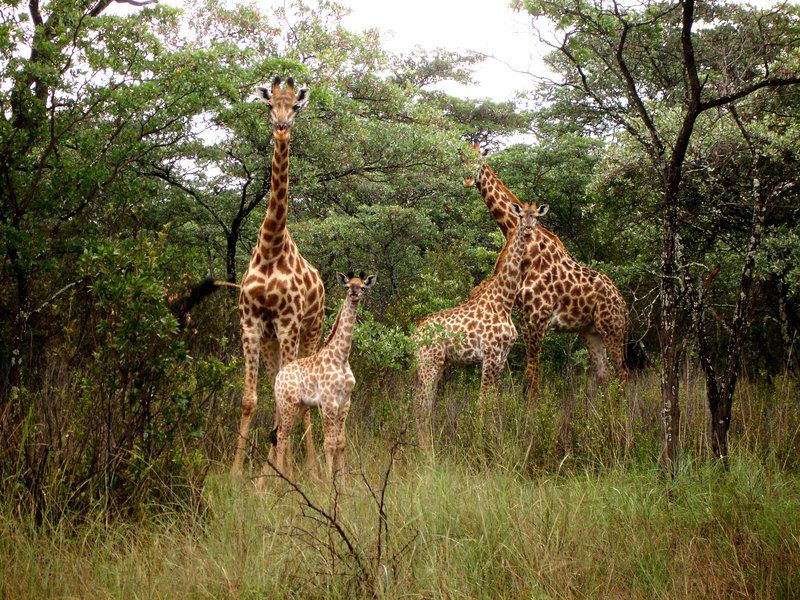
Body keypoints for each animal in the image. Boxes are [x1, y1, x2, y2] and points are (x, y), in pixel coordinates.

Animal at [268, 272, 378, 478]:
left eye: (363, 287)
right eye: (347, 286)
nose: (354, 294)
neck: (341, 357)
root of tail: (278, 377)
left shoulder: (345, 402)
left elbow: (341, 442)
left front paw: (342, 483)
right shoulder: (328, 402)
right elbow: (329, 443)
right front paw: (328, 481)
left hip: (300, 406)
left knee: (282, 436)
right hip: (287, 404)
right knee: (281, 436)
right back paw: (280, 481)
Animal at [412, 202, 544, 446]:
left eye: (537, 218)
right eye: (521, 217)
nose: (529, 231)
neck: (504, 300)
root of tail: (415, 332)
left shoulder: (501, 357)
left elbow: (493, 400)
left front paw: (492, 435)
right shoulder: (490, 354)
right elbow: (483, 400)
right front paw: (481, 440)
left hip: (436, 363)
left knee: (426, 400)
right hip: (429, 362)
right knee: (421, 403)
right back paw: (424, 445)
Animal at [462, 145, 632, 398]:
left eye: (479, 161)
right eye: (461, 158)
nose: (466, 179)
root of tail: (623, 303)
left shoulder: (538, 317)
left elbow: (532, 377)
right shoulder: (525, 317)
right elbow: (529, 375)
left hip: (612, 327)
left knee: (623, 373)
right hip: (591, 331)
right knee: (604, 374)